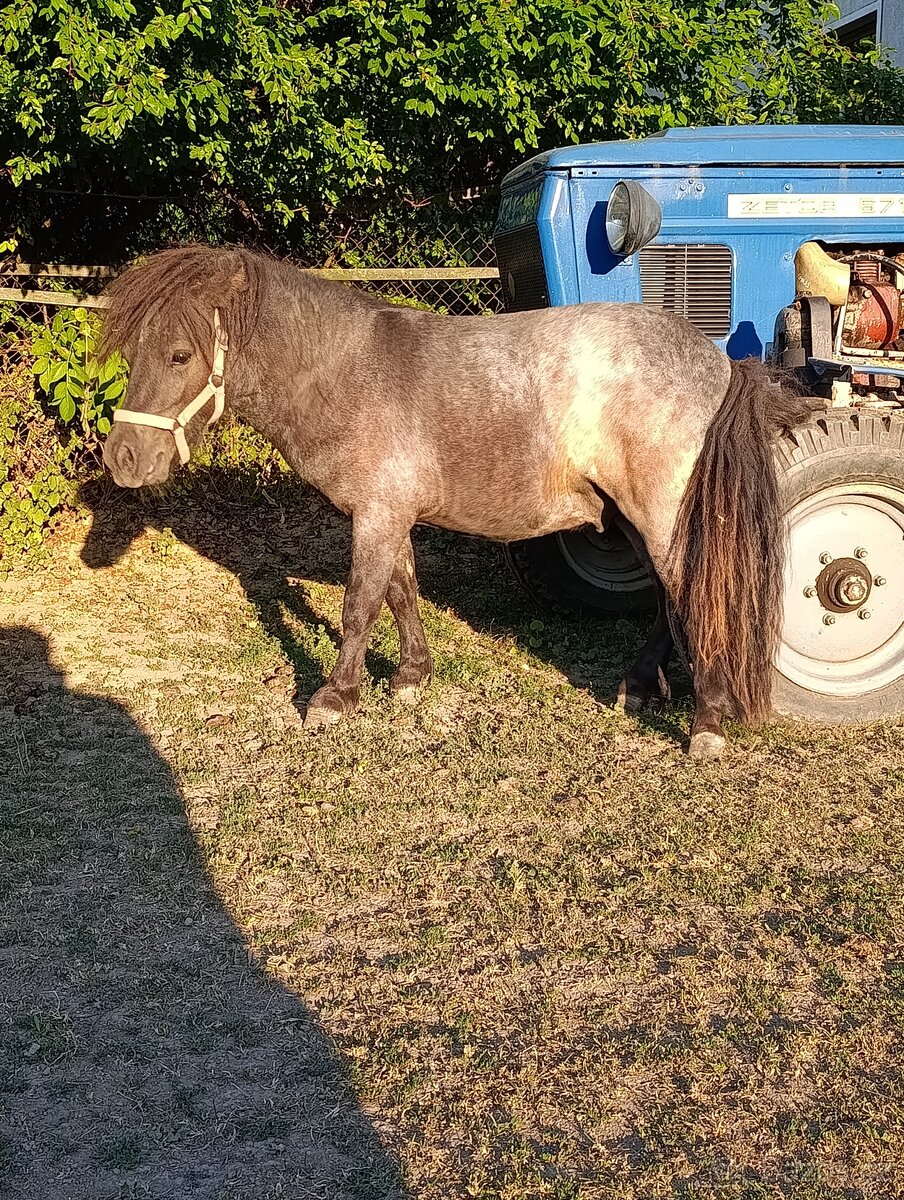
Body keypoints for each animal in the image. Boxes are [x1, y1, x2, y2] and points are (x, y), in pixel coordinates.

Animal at [99, 244, 810, 758]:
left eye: (180, 354)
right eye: (132, 351)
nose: (122, 458)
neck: (344, 372)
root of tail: (721, 364)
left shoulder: (376, 515)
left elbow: (359, 603)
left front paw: (335, 696)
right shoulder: (388, 513)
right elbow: (400, 590)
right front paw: (410, 676)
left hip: (663, 518)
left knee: (696, 596)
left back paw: (706, 722)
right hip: (632, 519)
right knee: (668, 601)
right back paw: (637, 687)